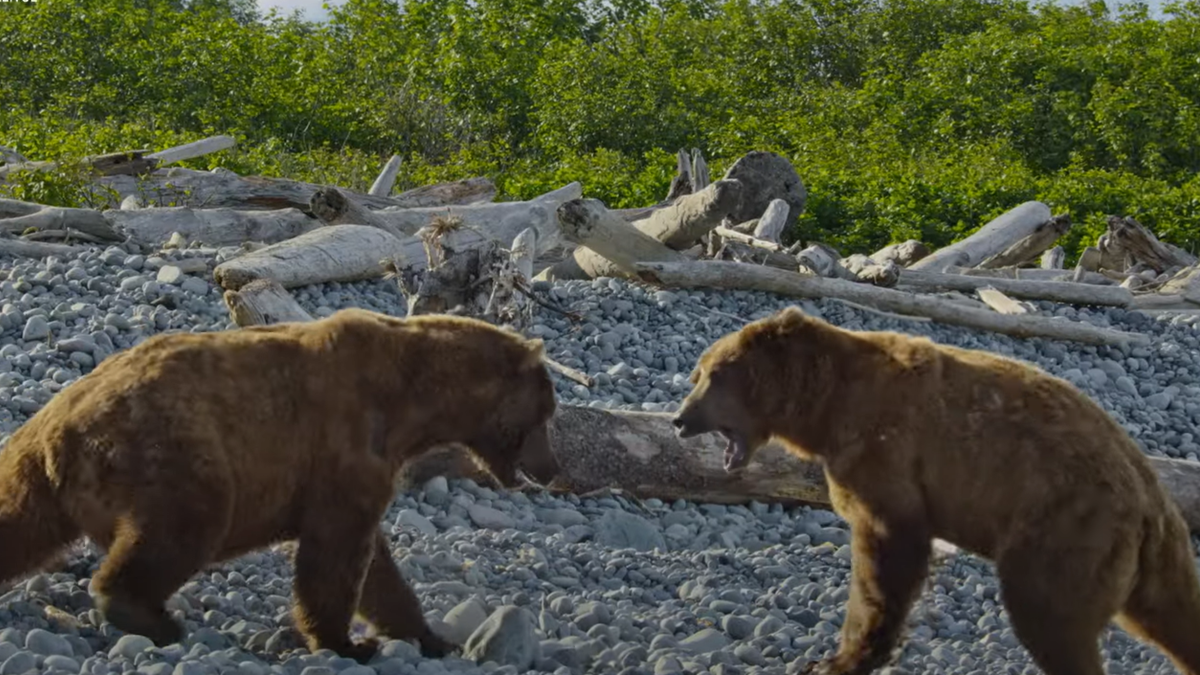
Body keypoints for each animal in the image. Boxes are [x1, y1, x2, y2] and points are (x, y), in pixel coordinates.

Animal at [0, 306, 556, 662]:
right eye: (548, 412)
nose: (551, 470)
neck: (415, 399)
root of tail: (57, 426)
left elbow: (377, 565)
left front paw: (430, 637)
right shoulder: (344, 443)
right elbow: (336, 554)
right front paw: (347, 643)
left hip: (39, 479)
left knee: (20, 523)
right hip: (171, 450)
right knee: (184, 524)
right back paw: (146, 614)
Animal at [672, 306, 1200, 672]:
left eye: (712, 374)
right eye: (699, 373)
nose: (679, 419)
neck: (823, 407)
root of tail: (1150, 500)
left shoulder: (884, 450)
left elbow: (887, 554)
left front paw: (837, 659)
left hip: (1064, 528)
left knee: (1049, 616)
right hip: (1152, 558)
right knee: (1175, 614)